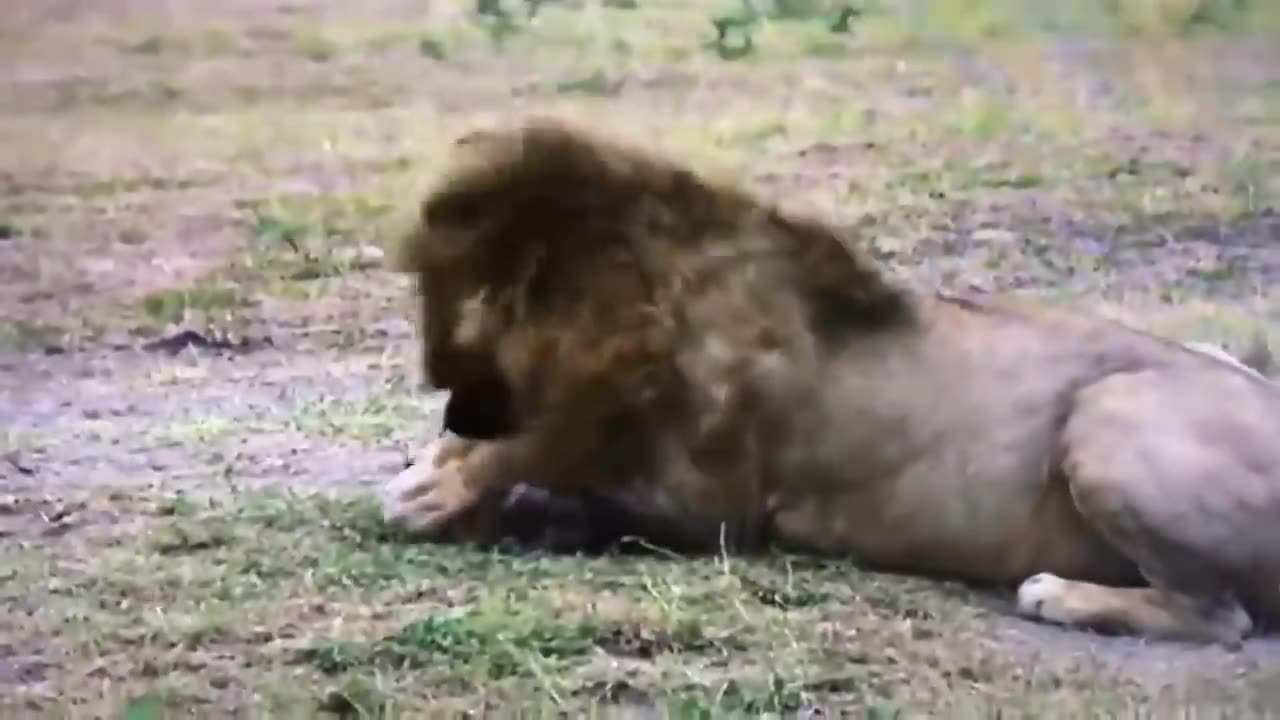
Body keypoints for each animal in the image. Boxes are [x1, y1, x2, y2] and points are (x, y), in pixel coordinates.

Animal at [380, 117, 1280, 647]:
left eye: (449, 342)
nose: (454, 414)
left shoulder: (711, 510)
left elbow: (552, 473)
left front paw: (438, 490)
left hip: (1107, 413)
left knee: (1222, 618)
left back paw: (1060, 595)